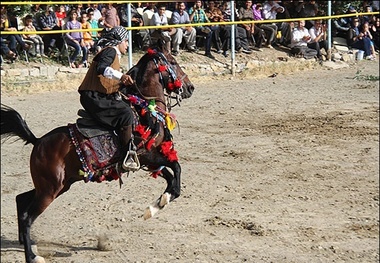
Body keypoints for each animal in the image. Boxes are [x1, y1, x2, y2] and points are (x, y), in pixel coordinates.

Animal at [0, 42, 194, 262]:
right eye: (173, 62)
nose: (190, 88)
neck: (143, 109)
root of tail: (38, 141)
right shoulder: (146, 155)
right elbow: (176, 168)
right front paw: (161, 202)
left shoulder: (149, 160)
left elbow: (171, 176)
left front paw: (156, 206)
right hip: (50, 190)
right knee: (27, 216)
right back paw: (32, 256)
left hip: (56, 186)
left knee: (21, 199)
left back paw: (26, 244)